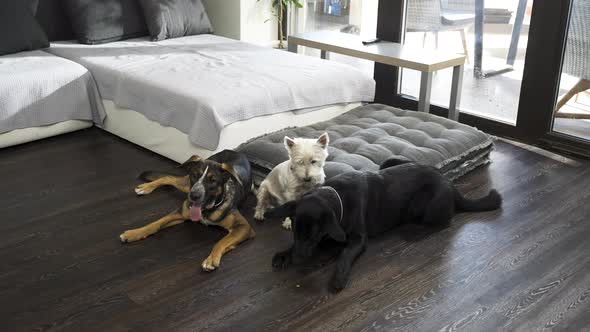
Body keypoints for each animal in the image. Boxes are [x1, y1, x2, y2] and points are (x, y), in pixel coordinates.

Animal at [120, 149, 256, 272]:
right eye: (195, 175)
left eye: (213, 181)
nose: (194, 196)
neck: (207, 209)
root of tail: (233, 151)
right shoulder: (181, 213)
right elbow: (155, 224)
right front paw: (134, 233)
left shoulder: (244, 227)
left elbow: (222, 241)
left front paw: (212, 259)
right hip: (186, 185)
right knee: (168, 177)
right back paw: (146, 187)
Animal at [268, 160, 504, 292]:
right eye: (296, 232)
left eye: (313, 235)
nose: (297, 260)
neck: (337, 197)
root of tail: (450, 183)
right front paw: (284, 253)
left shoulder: (358, 239)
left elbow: (345, 254)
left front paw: (338, 277)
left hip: (426, 204)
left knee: (445, 222)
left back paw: (415, 230)